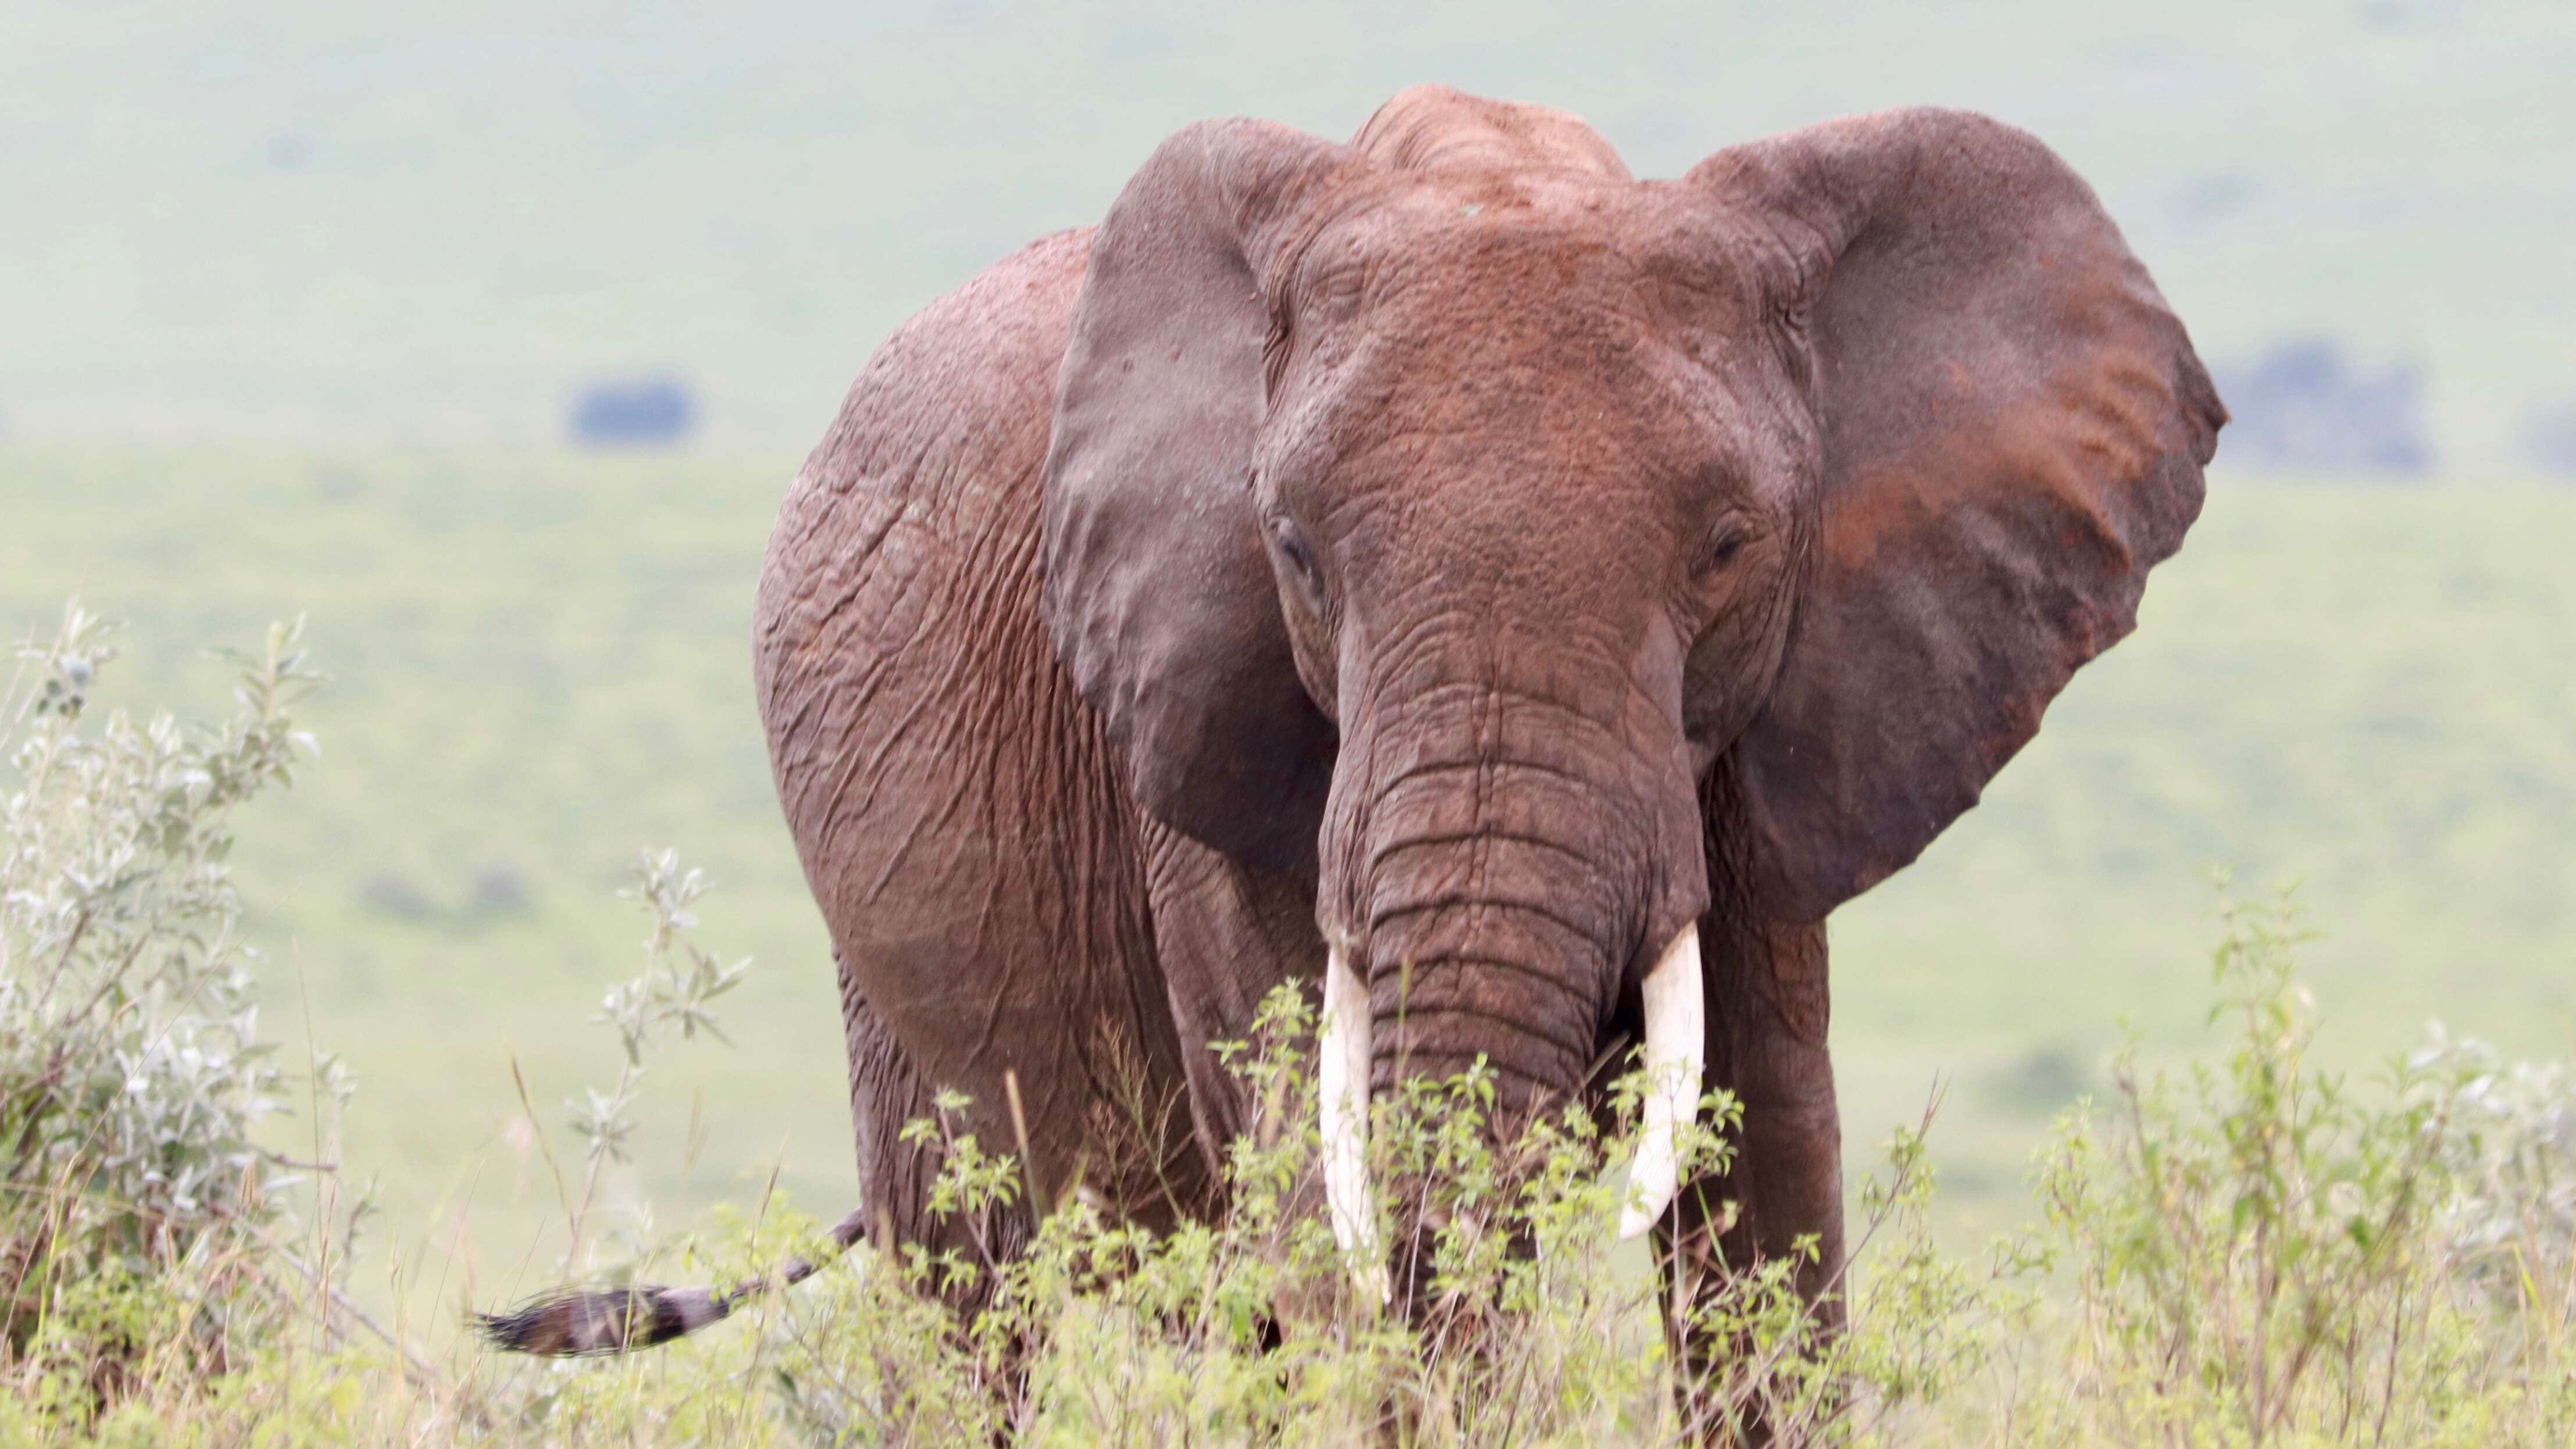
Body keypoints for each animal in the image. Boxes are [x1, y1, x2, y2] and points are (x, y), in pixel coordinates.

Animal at [484, 76, 2215, 1410]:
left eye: (1731, 547)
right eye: (1293, 550)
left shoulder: (1778, 729)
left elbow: (1766, 1203)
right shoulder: (1199, 707)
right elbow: (1316, 1189)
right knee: (972, 1285)